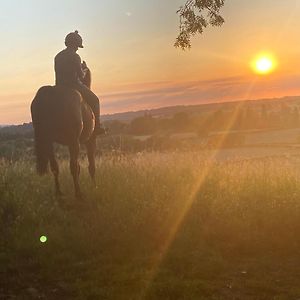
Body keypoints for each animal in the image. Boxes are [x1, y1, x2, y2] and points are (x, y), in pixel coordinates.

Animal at [30, 64, 96, 198]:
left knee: (55, 167)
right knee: (73, 167)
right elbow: (91, 165)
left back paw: (59, 193)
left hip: (48, 142)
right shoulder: (90, 141)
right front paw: (95, 186)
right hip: (73, 142)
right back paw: (78, 193)